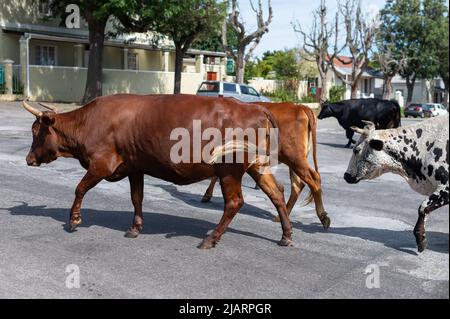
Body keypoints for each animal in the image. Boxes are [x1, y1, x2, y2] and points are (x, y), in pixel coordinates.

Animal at [22, 95, 294, 250]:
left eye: (36, 132)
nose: (28, 159)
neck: (88, 122)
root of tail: (255, 108)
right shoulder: (135, 166)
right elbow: (136, 198)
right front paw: (135, 228)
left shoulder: (101, 164)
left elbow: (79, 188)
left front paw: (74, 220)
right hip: (257, 166)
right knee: (277, 193)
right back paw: (286, 235)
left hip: (229, 170)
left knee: (235, 202)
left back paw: (211, 239)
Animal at [202, 102, 328, 230]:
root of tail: (301, 107)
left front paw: (207, 195)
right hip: (294, 160)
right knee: (298, 185)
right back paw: (282, 216)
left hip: (295, 157)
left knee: (314, 179)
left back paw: (323, 217)